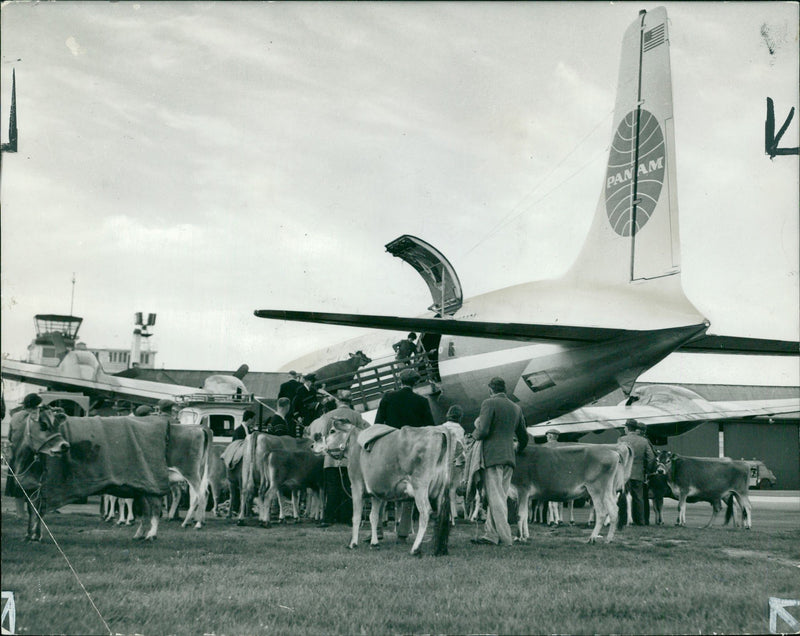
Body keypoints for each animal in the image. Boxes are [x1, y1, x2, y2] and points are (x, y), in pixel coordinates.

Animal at [7, 404, 211, 544]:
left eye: (54, 425)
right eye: (43, 424)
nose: (64, 446)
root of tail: (198, 428)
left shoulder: (43, 486)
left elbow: (38, 510)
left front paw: (36, 536)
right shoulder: (31, 486)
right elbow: (33, 509)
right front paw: (30, 535)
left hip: (186, 473)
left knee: (196, 495)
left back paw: (190, 523)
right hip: (156, 480)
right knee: (156, 504)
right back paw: (145, 533)